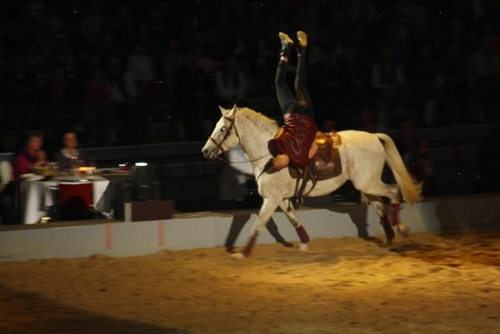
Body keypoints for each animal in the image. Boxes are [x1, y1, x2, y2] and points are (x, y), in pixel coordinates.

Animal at [201, 105, 420, 258]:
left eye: (223, 129)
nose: (205, 151)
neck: (270, 154)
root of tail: (374, 137)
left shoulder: (271, 199)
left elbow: (258, 225)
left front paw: (243, 254)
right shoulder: (281, 199)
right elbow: (294, 220)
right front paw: (304, 245)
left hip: (369, 183)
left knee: (394, 192)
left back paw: (401, 228)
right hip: (366, 185)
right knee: (380, 206)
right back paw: (389, 240)